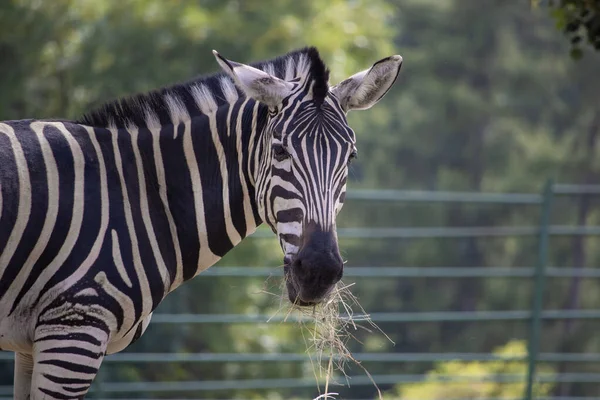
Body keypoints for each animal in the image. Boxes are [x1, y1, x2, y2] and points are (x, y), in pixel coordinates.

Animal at [1, 46, 404, 396]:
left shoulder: (32, 344)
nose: (319, 272)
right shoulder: (73, 329)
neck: (144, 190)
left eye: (350, 157)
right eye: (279, 150)